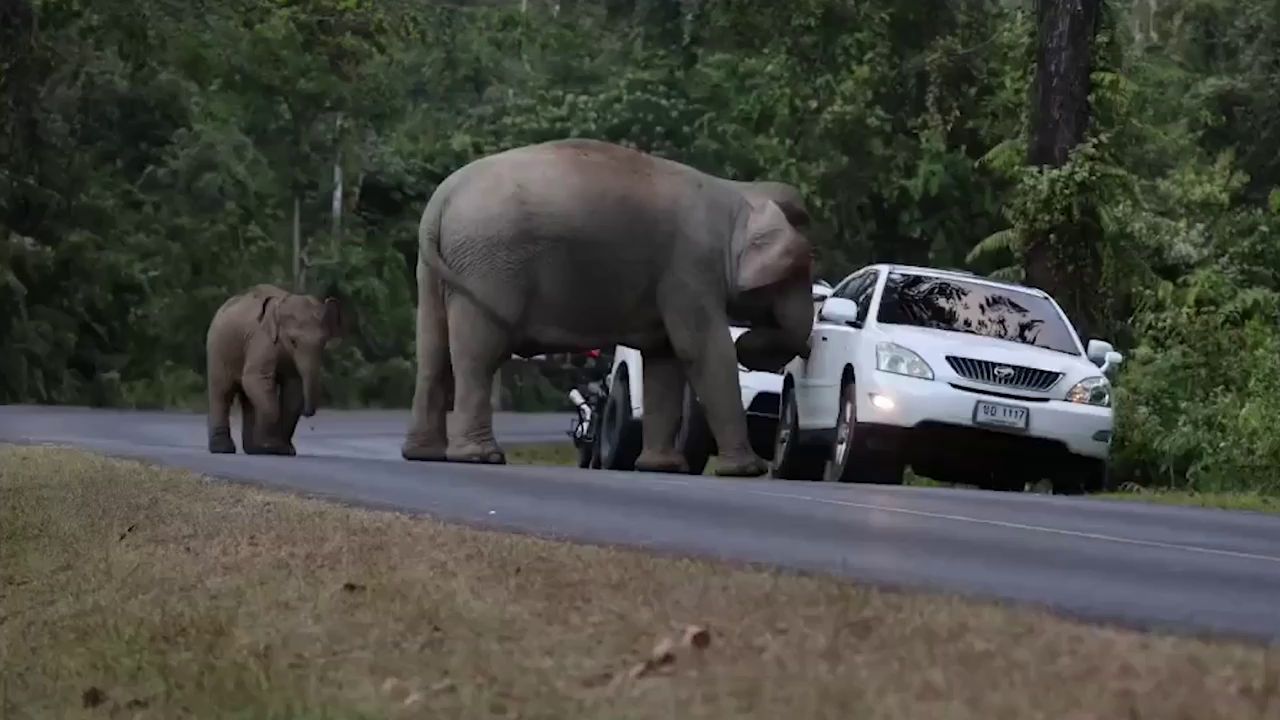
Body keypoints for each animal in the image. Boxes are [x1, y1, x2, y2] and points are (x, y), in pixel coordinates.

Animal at [206, 281, 348, 453]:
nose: (308, 414)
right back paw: (223, 448)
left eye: (323, 342)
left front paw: (285, 450)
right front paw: (273, 447)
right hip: (218, 350)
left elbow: (293, 388)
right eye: (293, 341)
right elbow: (256, 378)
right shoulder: (262, 340)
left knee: (247, 398)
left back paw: (254, 449)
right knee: (222, 391)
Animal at [399, 139, 814, 476]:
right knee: (478, 357)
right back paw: (481, 457)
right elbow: (703, 351)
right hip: (489, 268)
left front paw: (662, 468)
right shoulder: (691, 269)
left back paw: (424, 454)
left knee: (433, 355)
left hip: (438, 271)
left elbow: (664, 360)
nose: (750, 343)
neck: (739, 194)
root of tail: (440, 201)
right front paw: (746, 471)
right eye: (796, 270)